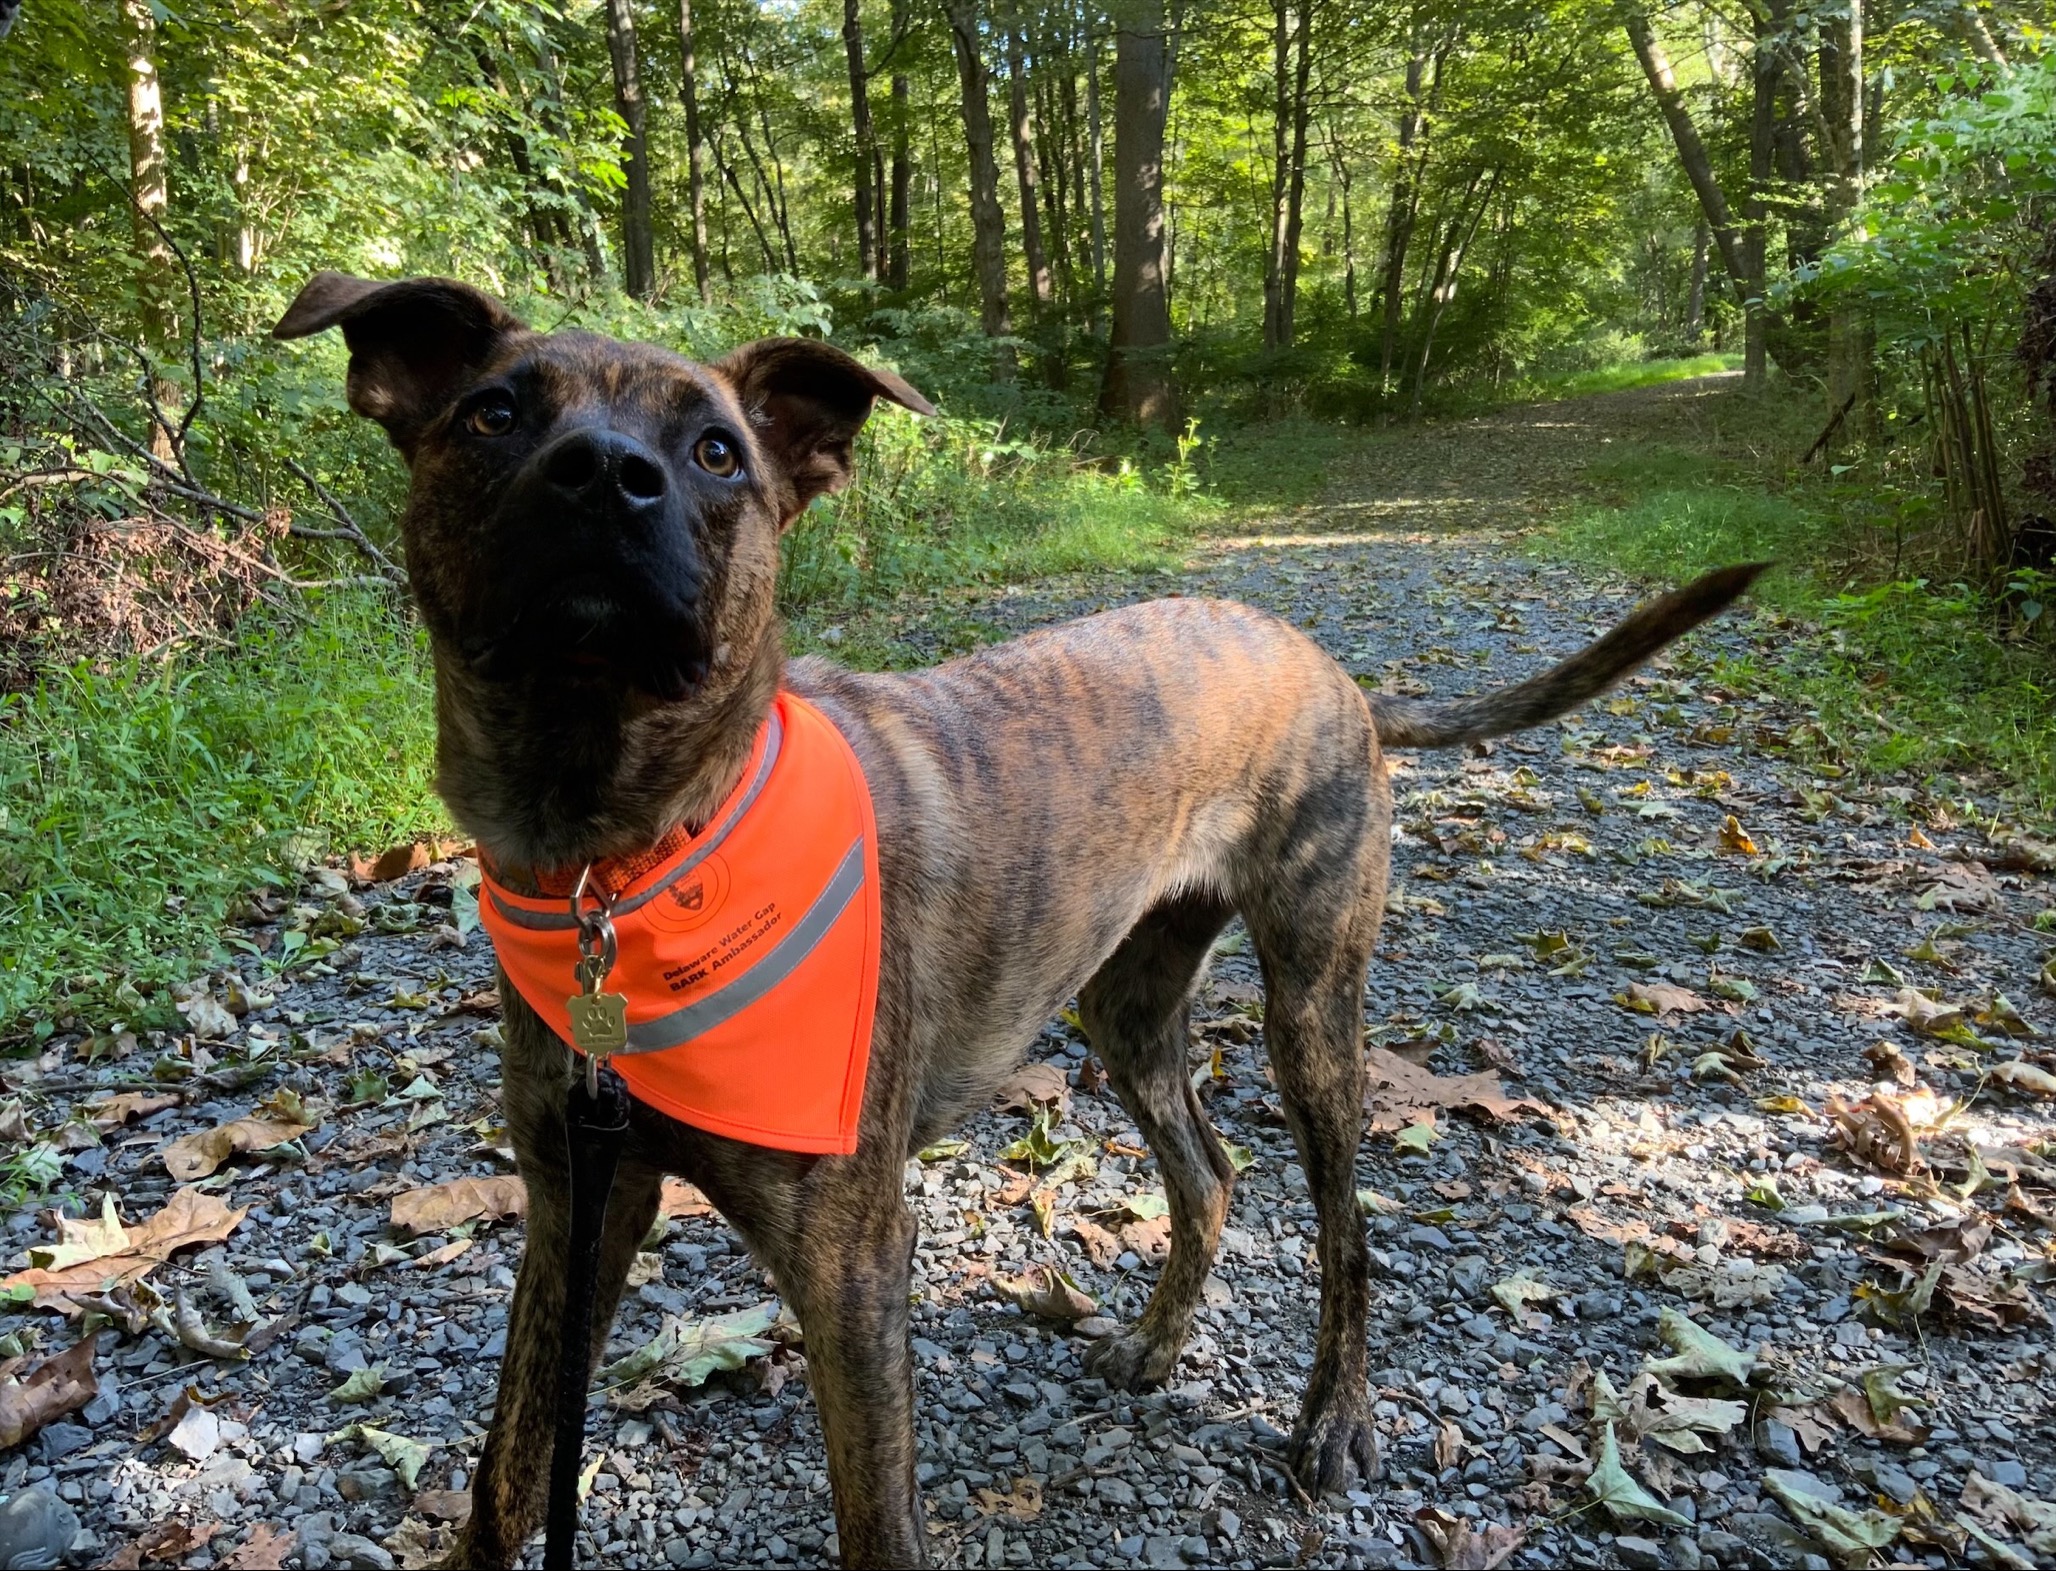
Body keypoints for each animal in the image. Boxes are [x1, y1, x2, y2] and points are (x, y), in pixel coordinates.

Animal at [265, 275, 1759, 1562]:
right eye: (495, 412)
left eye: (714, 451)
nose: (603, 474)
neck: (627, 858)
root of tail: (1333, 670)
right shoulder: (576, 1201)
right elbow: (507, 1470)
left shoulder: (850, 1258)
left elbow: (878, 1522)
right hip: (1126, 1003)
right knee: (1211, 1171)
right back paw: (1158, 1341)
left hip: (1313, 1001)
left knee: (1346, 1224)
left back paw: (1335, 1419)